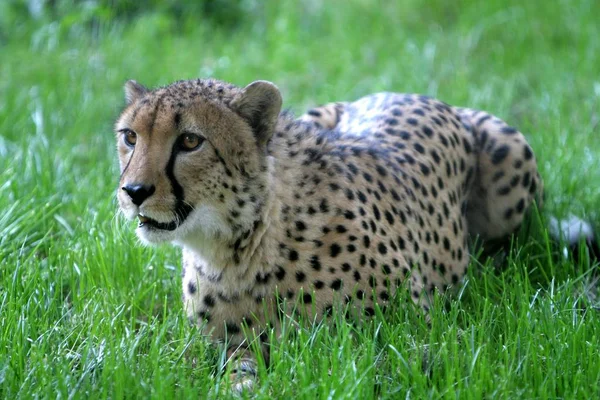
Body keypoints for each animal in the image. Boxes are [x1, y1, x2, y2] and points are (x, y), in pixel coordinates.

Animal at [116, 78, 544, 390]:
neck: (239, 247)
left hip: (511, 166)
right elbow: (239, 371)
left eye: (190, 141)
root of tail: (402, 92)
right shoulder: (226, 347)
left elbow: (368, 361)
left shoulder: (415, 333)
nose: (133, 191)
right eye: (130, 137)